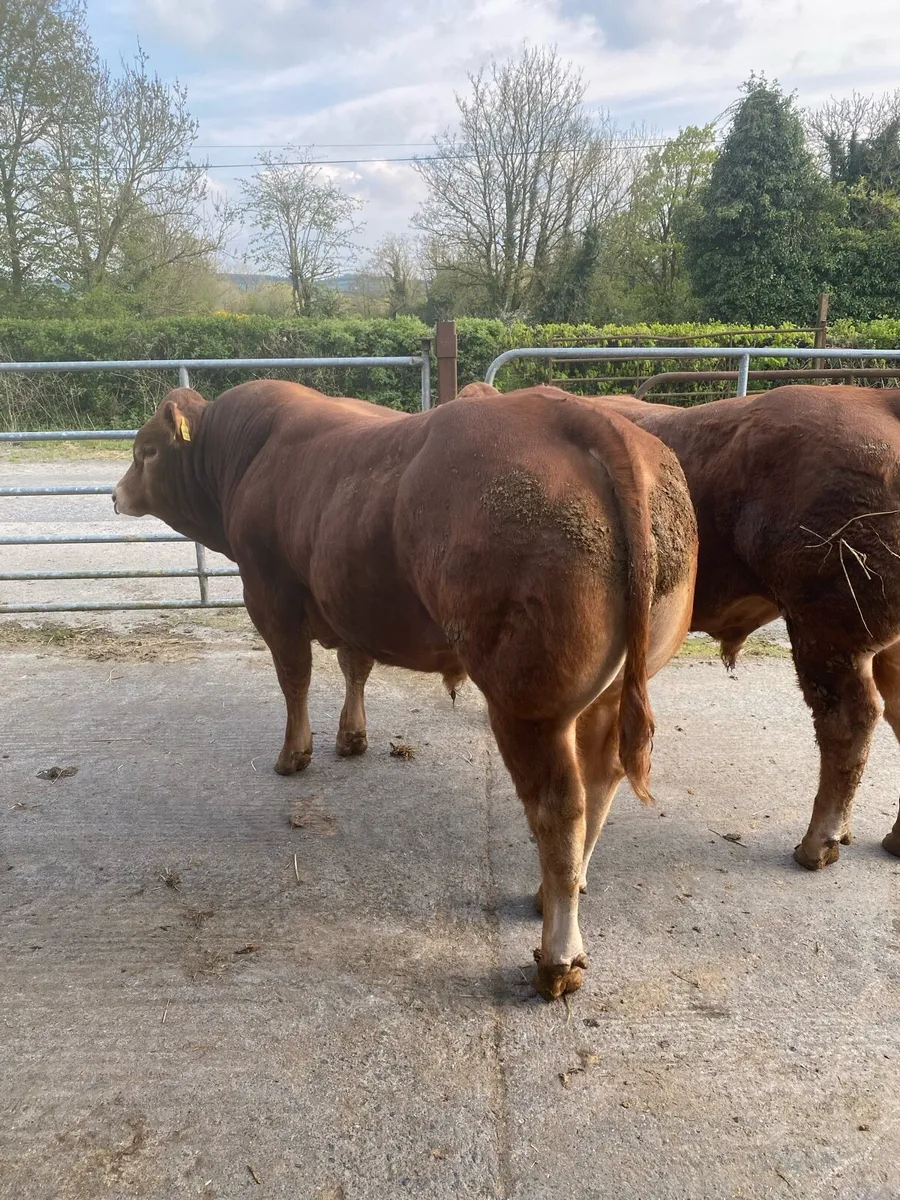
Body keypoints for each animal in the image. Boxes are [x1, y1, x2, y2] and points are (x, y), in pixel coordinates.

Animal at [113, 380, 697, 1000]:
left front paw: (294, 753)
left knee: (560, 807)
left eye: (146, 450)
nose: (115, 494)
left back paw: (557, 957)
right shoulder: (352, 605)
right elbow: (354, 665)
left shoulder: (270, 592)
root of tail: (578, 415)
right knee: (602, 780)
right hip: (611, 691)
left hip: (528, 702)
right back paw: (555, 892)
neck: (248, 455)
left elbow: (294, 677)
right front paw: (351, 737)